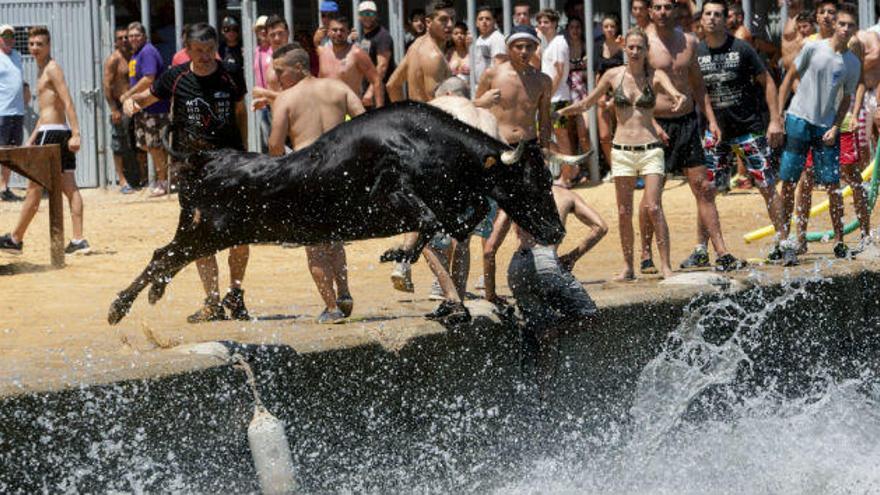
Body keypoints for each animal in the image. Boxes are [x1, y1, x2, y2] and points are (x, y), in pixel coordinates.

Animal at [108, 101, 564, 326]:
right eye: (532, 181)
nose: (557, 231)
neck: (429, 143)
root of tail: (205, 159)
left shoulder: (451, 203)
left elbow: (461, 221)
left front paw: (399, 257)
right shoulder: (395, 193)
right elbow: (434, 223)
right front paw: (397, 258)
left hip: (206, 232)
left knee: (166, 256)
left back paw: (151, 293)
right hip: (207, 232)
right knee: (163, 256)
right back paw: (119, 307)